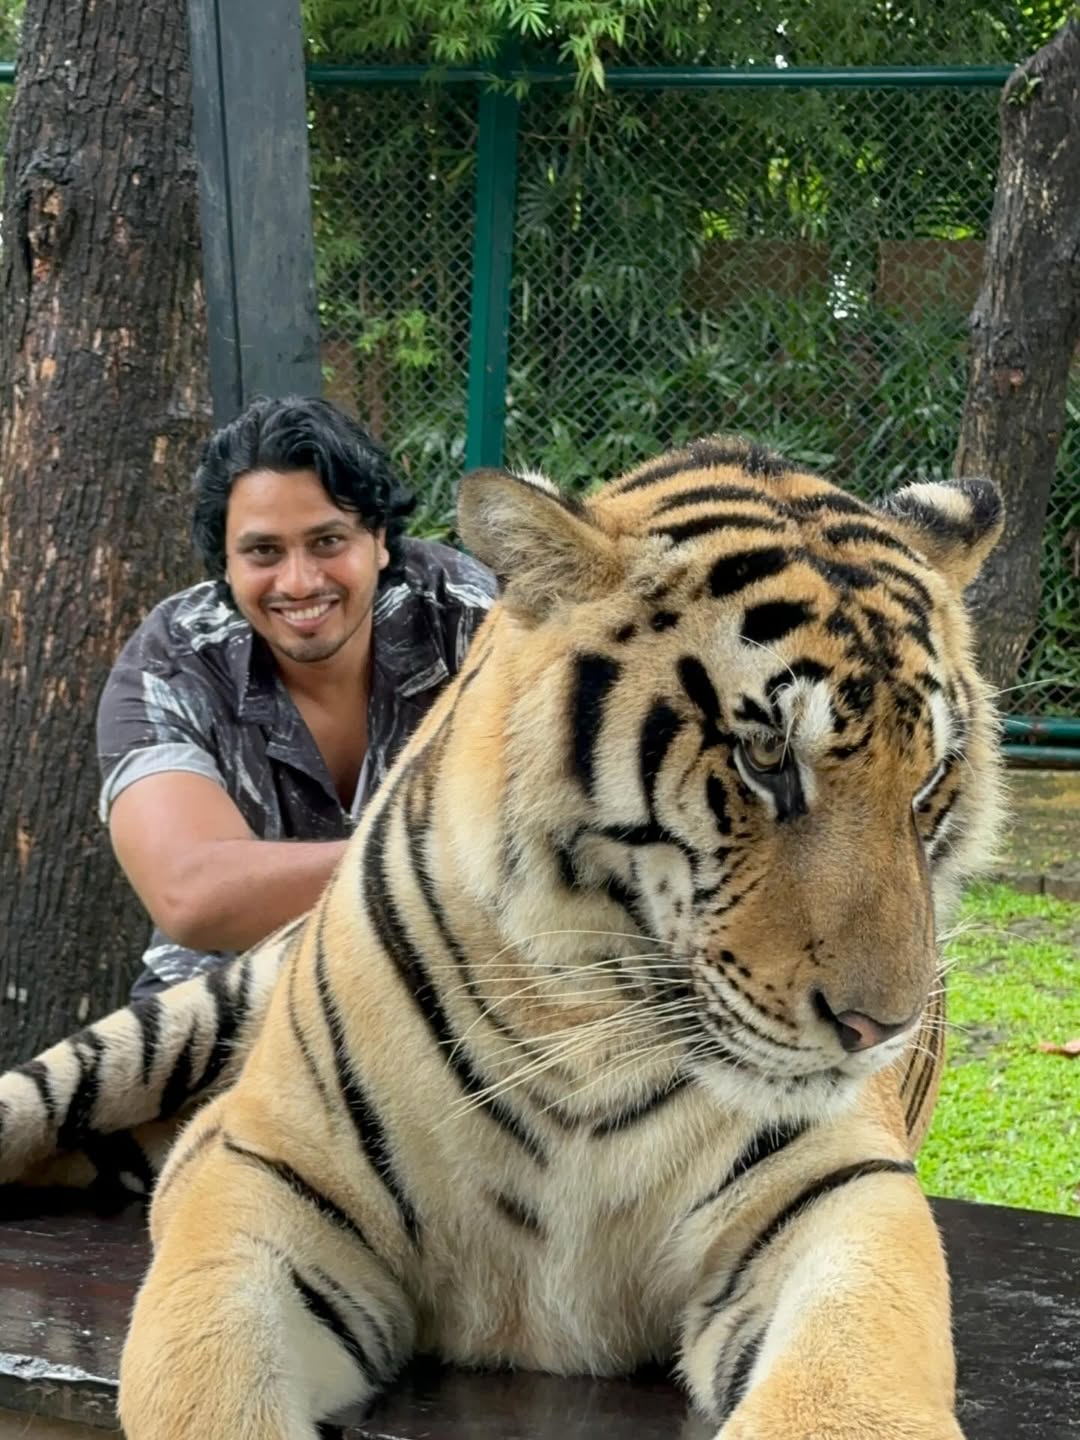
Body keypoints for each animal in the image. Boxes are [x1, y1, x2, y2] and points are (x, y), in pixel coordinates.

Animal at [0, 435, 1004, 1440]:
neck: (587, 1016)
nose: (881, 1028)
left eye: (930, 780)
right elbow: (208, 1376)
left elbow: (849, 1380)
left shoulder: (836, 1188)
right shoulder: (268, 1167)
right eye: (765, 758)